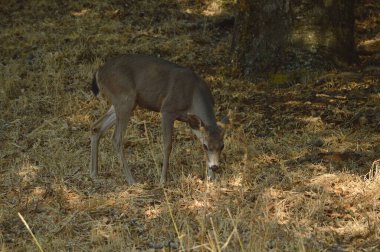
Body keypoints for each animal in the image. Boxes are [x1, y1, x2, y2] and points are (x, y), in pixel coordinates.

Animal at [90, 54, 226, 185]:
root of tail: (99, 72)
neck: (193, 96)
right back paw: (131, 180)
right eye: (205, 146)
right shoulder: (167, 110)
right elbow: (167, 145)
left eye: (222, 146)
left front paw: (210, 178)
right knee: (116, 138)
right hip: (124, 98)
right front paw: (162, 180)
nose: (215, 167)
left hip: (126, 102)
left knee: (96, 126)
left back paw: (94, 173)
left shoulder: (192, 122)